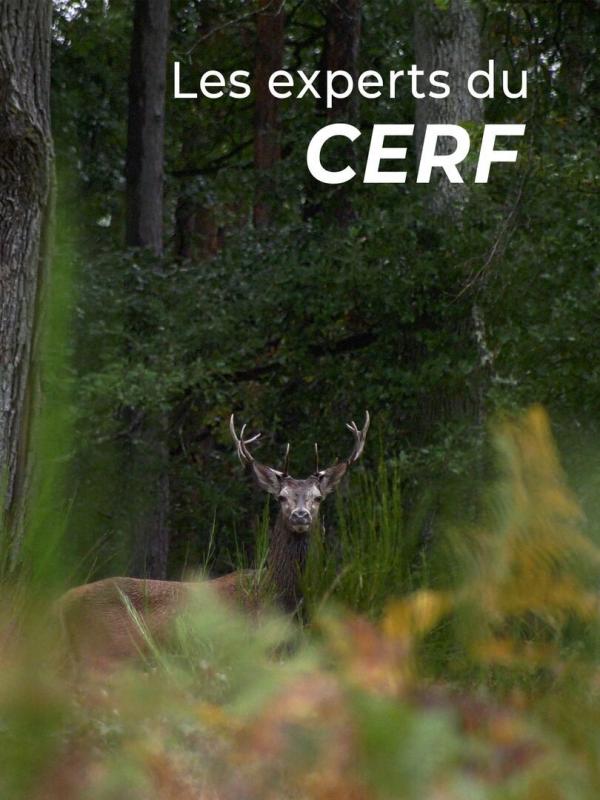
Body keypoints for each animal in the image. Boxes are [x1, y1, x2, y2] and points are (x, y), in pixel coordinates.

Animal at [56, 412, 370, 671]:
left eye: (318, 497)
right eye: (281, 497)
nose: (300, 515)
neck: (279, 599)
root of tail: (61, 602)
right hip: (103, 653)